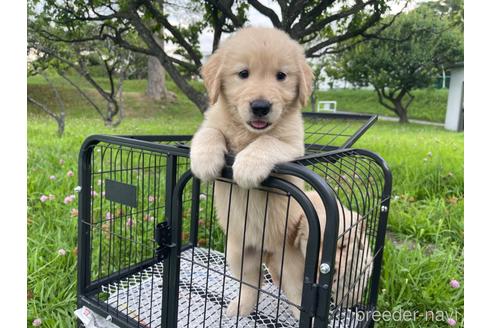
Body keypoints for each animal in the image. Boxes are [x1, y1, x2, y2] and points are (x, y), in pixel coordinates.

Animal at [190, 26, 314, 320]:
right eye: (243, 73)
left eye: (281, 76)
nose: (260, 106)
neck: (247, 132)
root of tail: (265, 250)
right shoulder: (211, 123)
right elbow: (210, 133)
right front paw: (204, 159)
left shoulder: (293, 145)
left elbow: (268, 141)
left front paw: (246, 165)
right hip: (237, 252)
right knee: (252, 283)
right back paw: (240, 307)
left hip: (290, 261)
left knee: (294, 292)